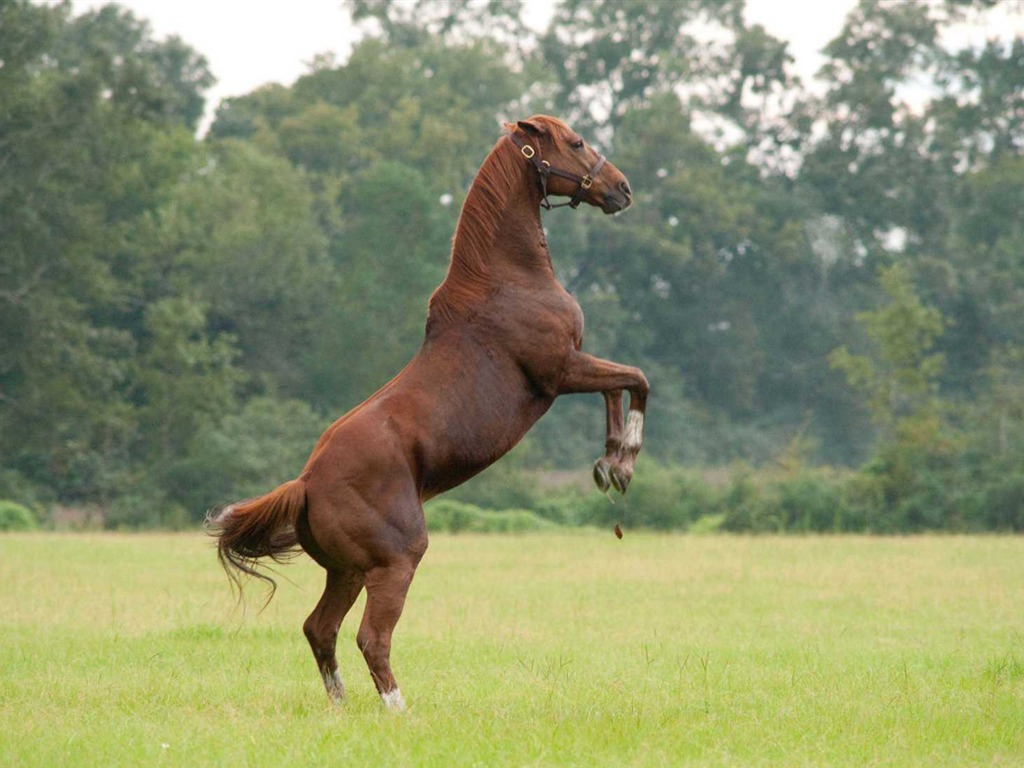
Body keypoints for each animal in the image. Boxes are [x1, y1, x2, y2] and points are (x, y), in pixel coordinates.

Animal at [209, 115, 647, 716]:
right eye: (576, 142)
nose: (622, 189)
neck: (507, 279)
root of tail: (305, 483)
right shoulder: (561, 371)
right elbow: (636, 380)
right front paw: (624, 458)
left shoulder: (573, 369)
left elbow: (618, 390)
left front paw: (611, 466)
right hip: (396, 561)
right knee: (371, 636)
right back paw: (399, 711)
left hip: (348, 570)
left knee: (320, 629)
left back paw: (341, 708)